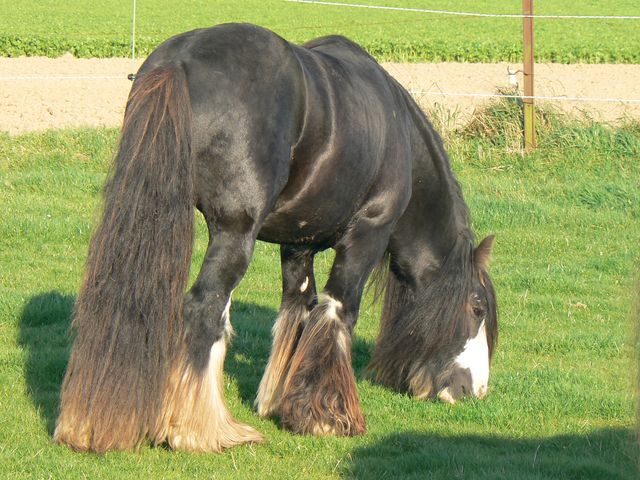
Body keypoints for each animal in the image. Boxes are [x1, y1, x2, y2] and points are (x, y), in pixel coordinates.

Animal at [53, 23, 496, 454]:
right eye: (477, 308)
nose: (475, 390)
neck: (396, 129)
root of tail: (178, 62)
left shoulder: (297, 245)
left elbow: (298, 309)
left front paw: (281, 401)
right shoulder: (367, 235)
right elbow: (337, 312)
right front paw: (326, 418)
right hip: (235, 234)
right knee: (205, 310)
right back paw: (201, 433)